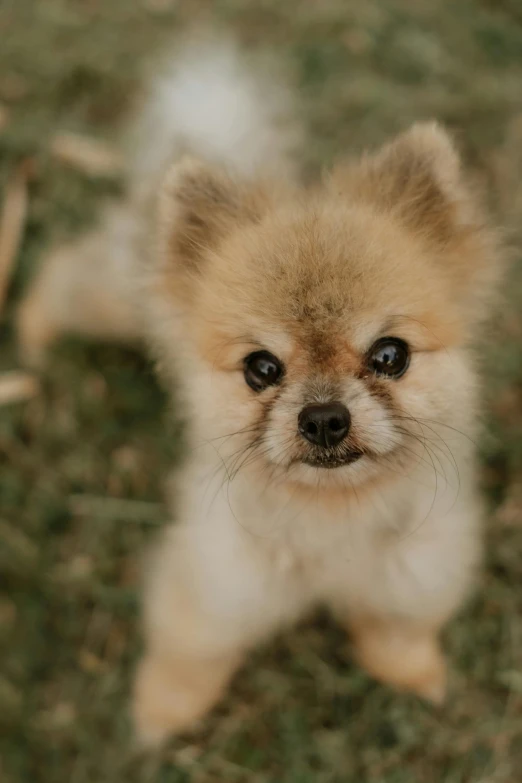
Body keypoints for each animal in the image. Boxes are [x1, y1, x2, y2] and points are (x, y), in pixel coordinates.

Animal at [18, 36, 502, 748]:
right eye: (262, 368)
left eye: (390, 356)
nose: (324, 418)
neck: (331, 519)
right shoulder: (213, 583)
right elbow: (189, 656)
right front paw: (158, 717)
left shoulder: (412, 570)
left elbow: (398, 630)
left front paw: (413, 676)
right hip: (111, 300)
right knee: (60, 273)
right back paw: (31, 333)